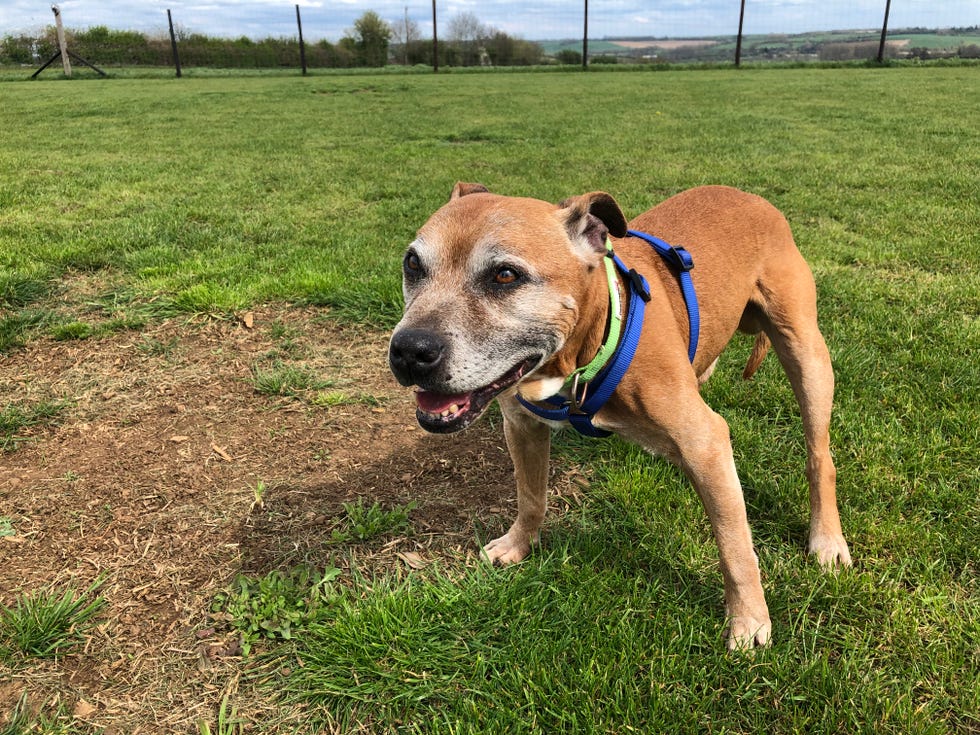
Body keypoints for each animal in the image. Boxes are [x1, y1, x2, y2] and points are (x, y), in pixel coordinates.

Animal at [388, 185, 848, 648]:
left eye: (504, 275)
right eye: (413, 263)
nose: (409, 351)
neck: (586, 347)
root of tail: (751, 196)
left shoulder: (706, 440)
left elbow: (734, 544)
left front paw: (749, 617)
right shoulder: (522, 426)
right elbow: (531, 495)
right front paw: (519, 543)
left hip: (805, 352)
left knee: (819, 456)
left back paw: (826, 538)